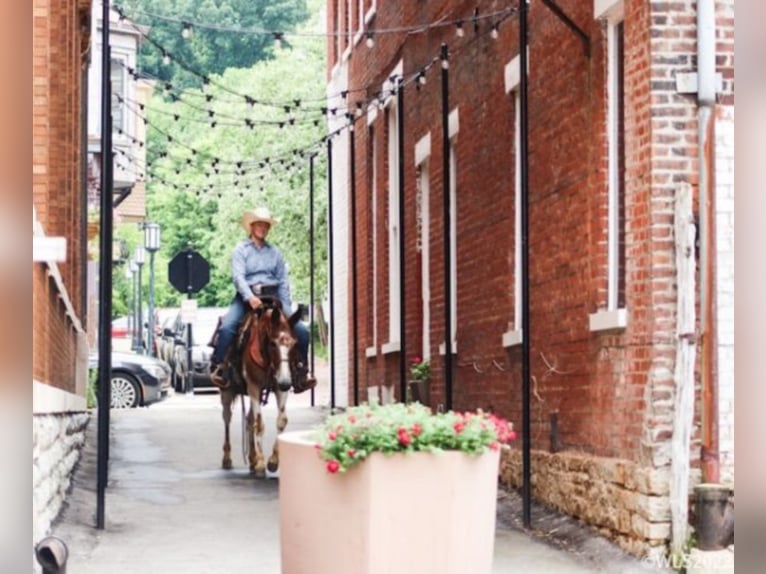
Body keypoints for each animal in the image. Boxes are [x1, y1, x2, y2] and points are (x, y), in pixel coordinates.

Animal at [219, 306, 304, 476]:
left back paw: (252, 458)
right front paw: (260, 464)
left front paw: (273, 461)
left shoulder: (279, 387)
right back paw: (227, 458)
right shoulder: (254, 386)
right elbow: (259, 424)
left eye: (294, 344)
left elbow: (281, 421)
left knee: (249, 419)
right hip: (227, 391)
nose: (286, 382)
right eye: (272, 343)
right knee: (227, 417)